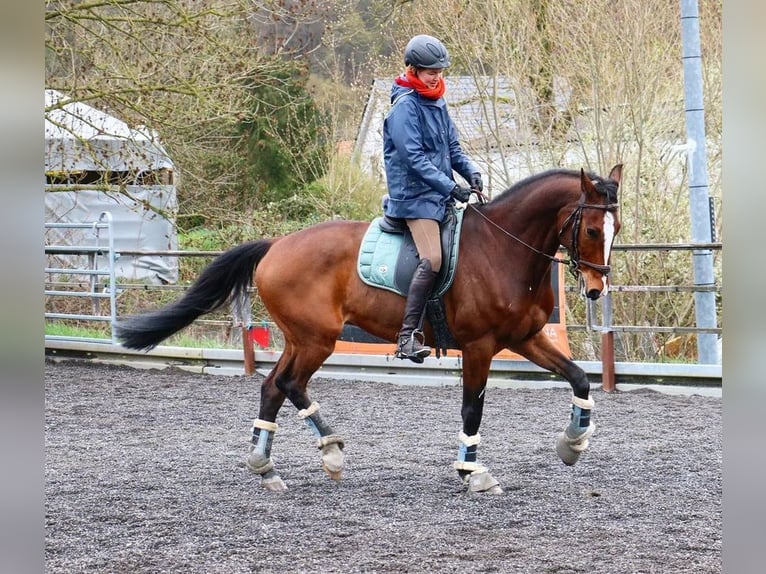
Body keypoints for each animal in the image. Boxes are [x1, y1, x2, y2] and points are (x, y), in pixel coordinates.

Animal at [118, 165, 624, 496]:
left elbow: (579, 378)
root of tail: (276, 245)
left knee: (272, 386)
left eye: (616, 227)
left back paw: (266, 466)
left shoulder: (524, 339)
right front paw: (472, 473)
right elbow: (472, 411)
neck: (503, 249)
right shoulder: (480, 347)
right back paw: (331, 451)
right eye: (592, 229)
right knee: (290, 383)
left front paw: (572, 443)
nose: (596, 289)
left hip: (301, 338)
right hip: (316, 339)